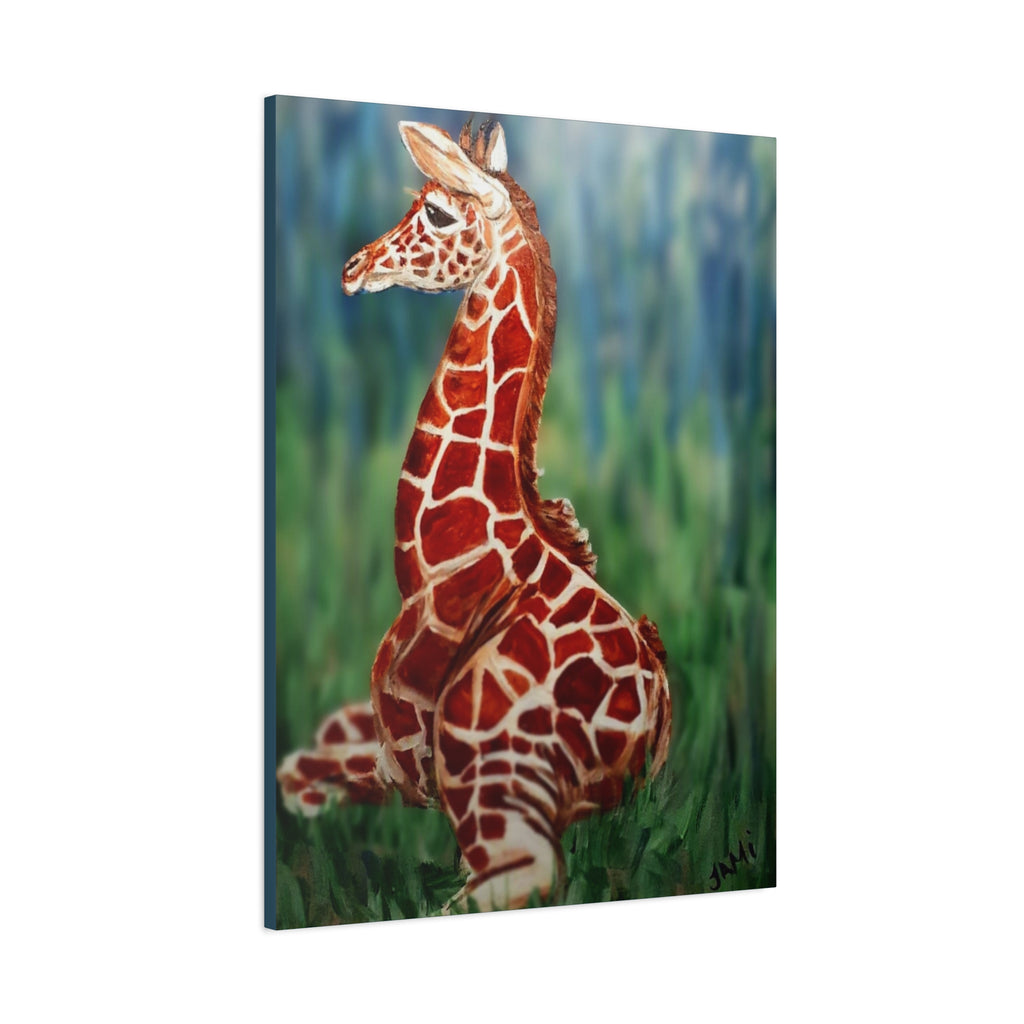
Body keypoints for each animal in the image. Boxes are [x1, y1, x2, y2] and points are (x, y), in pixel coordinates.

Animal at [278, 119, 672, 912]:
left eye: (435, 212)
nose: (353, 266)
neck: (434, 562)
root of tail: (650, 739)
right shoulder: (384, 736)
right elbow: (307, 755)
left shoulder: (410, 752)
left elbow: (303, 776)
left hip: (487, 761)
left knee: (522, 877)